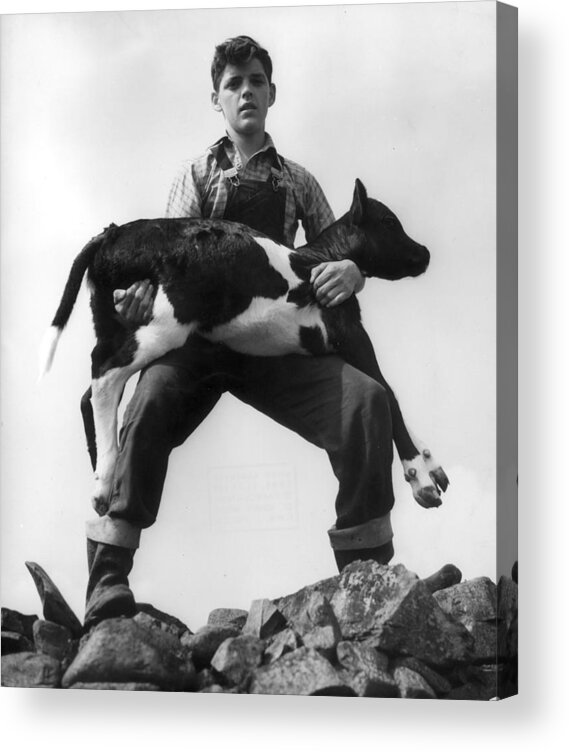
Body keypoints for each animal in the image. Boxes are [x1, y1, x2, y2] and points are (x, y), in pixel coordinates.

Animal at [40, 179, 448, 516]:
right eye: (390, 222)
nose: (426, 253)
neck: (320, 261)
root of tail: (113, 233)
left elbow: (388, 394)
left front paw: (432, 464)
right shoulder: (351, 334)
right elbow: (390, 394)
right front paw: (420, 477)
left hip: (116, 323)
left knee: (91, 386)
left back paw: (101, 472)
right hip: (165, 326)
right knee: (105, 374)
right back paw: (104, 480)